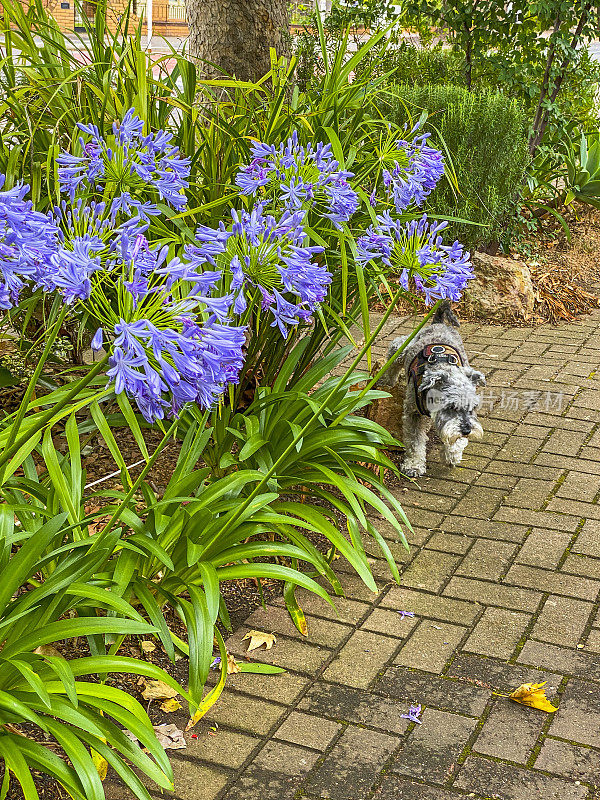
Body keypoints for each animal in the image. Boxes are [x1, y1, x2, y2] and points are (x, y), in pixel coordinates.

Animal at [384, 300, 488, 476]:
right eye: (451, 406)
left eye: (473, 407)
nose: (467, 430)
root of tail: (438, 323)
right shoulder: (413, 414)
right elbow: (415, 441)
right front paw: (413, 465)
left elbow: (454, 438)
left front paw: (452, 454)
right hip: (404, 348)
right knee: (395, 349)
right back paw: (385, 380)